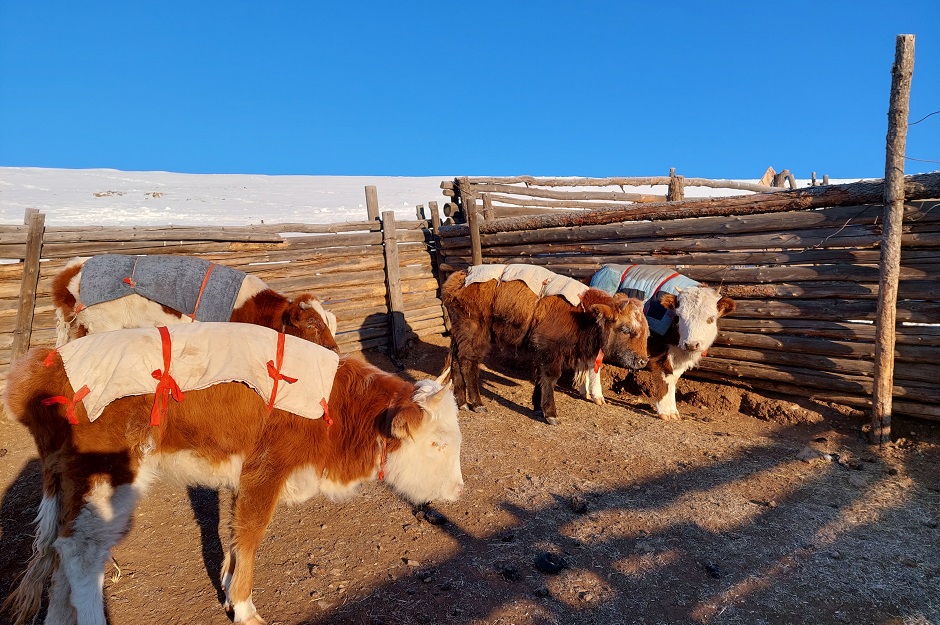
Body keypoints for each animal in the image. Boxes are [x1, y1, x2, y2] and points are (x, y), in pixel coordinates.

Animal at [2, 324, 462, 625]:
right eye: (438, 444)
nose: (458, 490)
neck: (335, 406)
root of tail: (41, 365)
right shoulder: (267, 469)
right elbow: (252, 534)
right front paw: (243, 607)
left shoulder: (241, 474)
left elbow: (235, 533)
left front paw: (226, 585)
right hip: (105, 477)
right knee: (81, 553)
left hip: (70, 485)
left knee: (61, 553)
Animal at [441, 263, 649, 425]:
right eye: (626, 329)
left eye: (646, 332)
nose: (643, 361)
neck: (581, 313)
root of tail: (458, 279)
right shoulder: (549, 350)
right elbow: (549, 378)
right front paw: (551, 414)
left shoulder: (540, 351)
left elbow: (539, 377)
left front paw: (538, 408)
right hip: (474, 333)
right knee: (468, 363)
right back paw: (477, 403)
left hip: (460, 336)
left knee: (456, 362)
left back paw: (461, 402)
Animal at [573, 264, 736, 420]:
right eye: (680, 316)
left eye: (711, 318)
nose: (691, 344)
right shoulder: (659, 354)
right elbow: (664, 378)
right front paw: (664, 412)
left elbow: (673, 379)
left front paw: (674, 411)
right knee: (593, 362)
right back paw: (597, 395)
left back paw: (584, 391)